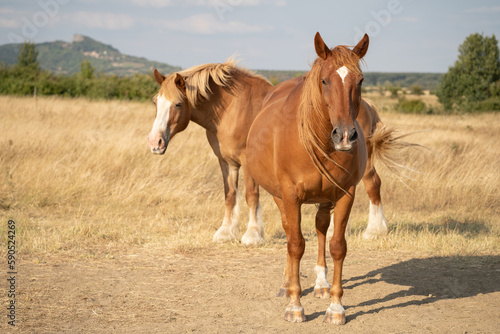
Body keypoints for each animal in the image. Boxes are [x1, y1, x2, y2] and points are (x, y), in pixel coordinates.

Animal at [147, 58, 272, 244]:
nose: (155, 142)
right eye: (156, 102)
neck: (233, 109)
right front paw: (226, 232)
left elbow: (251, 195)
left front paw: (253, 234)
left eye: (178, 104)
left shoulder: (247, 162)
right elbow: (230, 195)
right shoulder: (226, 161)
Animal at [246, 32, 398, 322]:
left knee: (320, 229)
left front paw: (336, 307)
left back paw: (321, 284)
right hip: (280, 197)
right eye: (325, 80)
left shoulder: (345, 194)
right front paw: (295, 305)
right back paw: (286, 285)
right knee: (290, 232)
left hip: (325, 199)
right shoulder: (290, 196)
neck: (317, 143)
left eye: (360, 80)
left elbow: (337, 245)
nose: (346, 136)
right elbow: (295, 244)